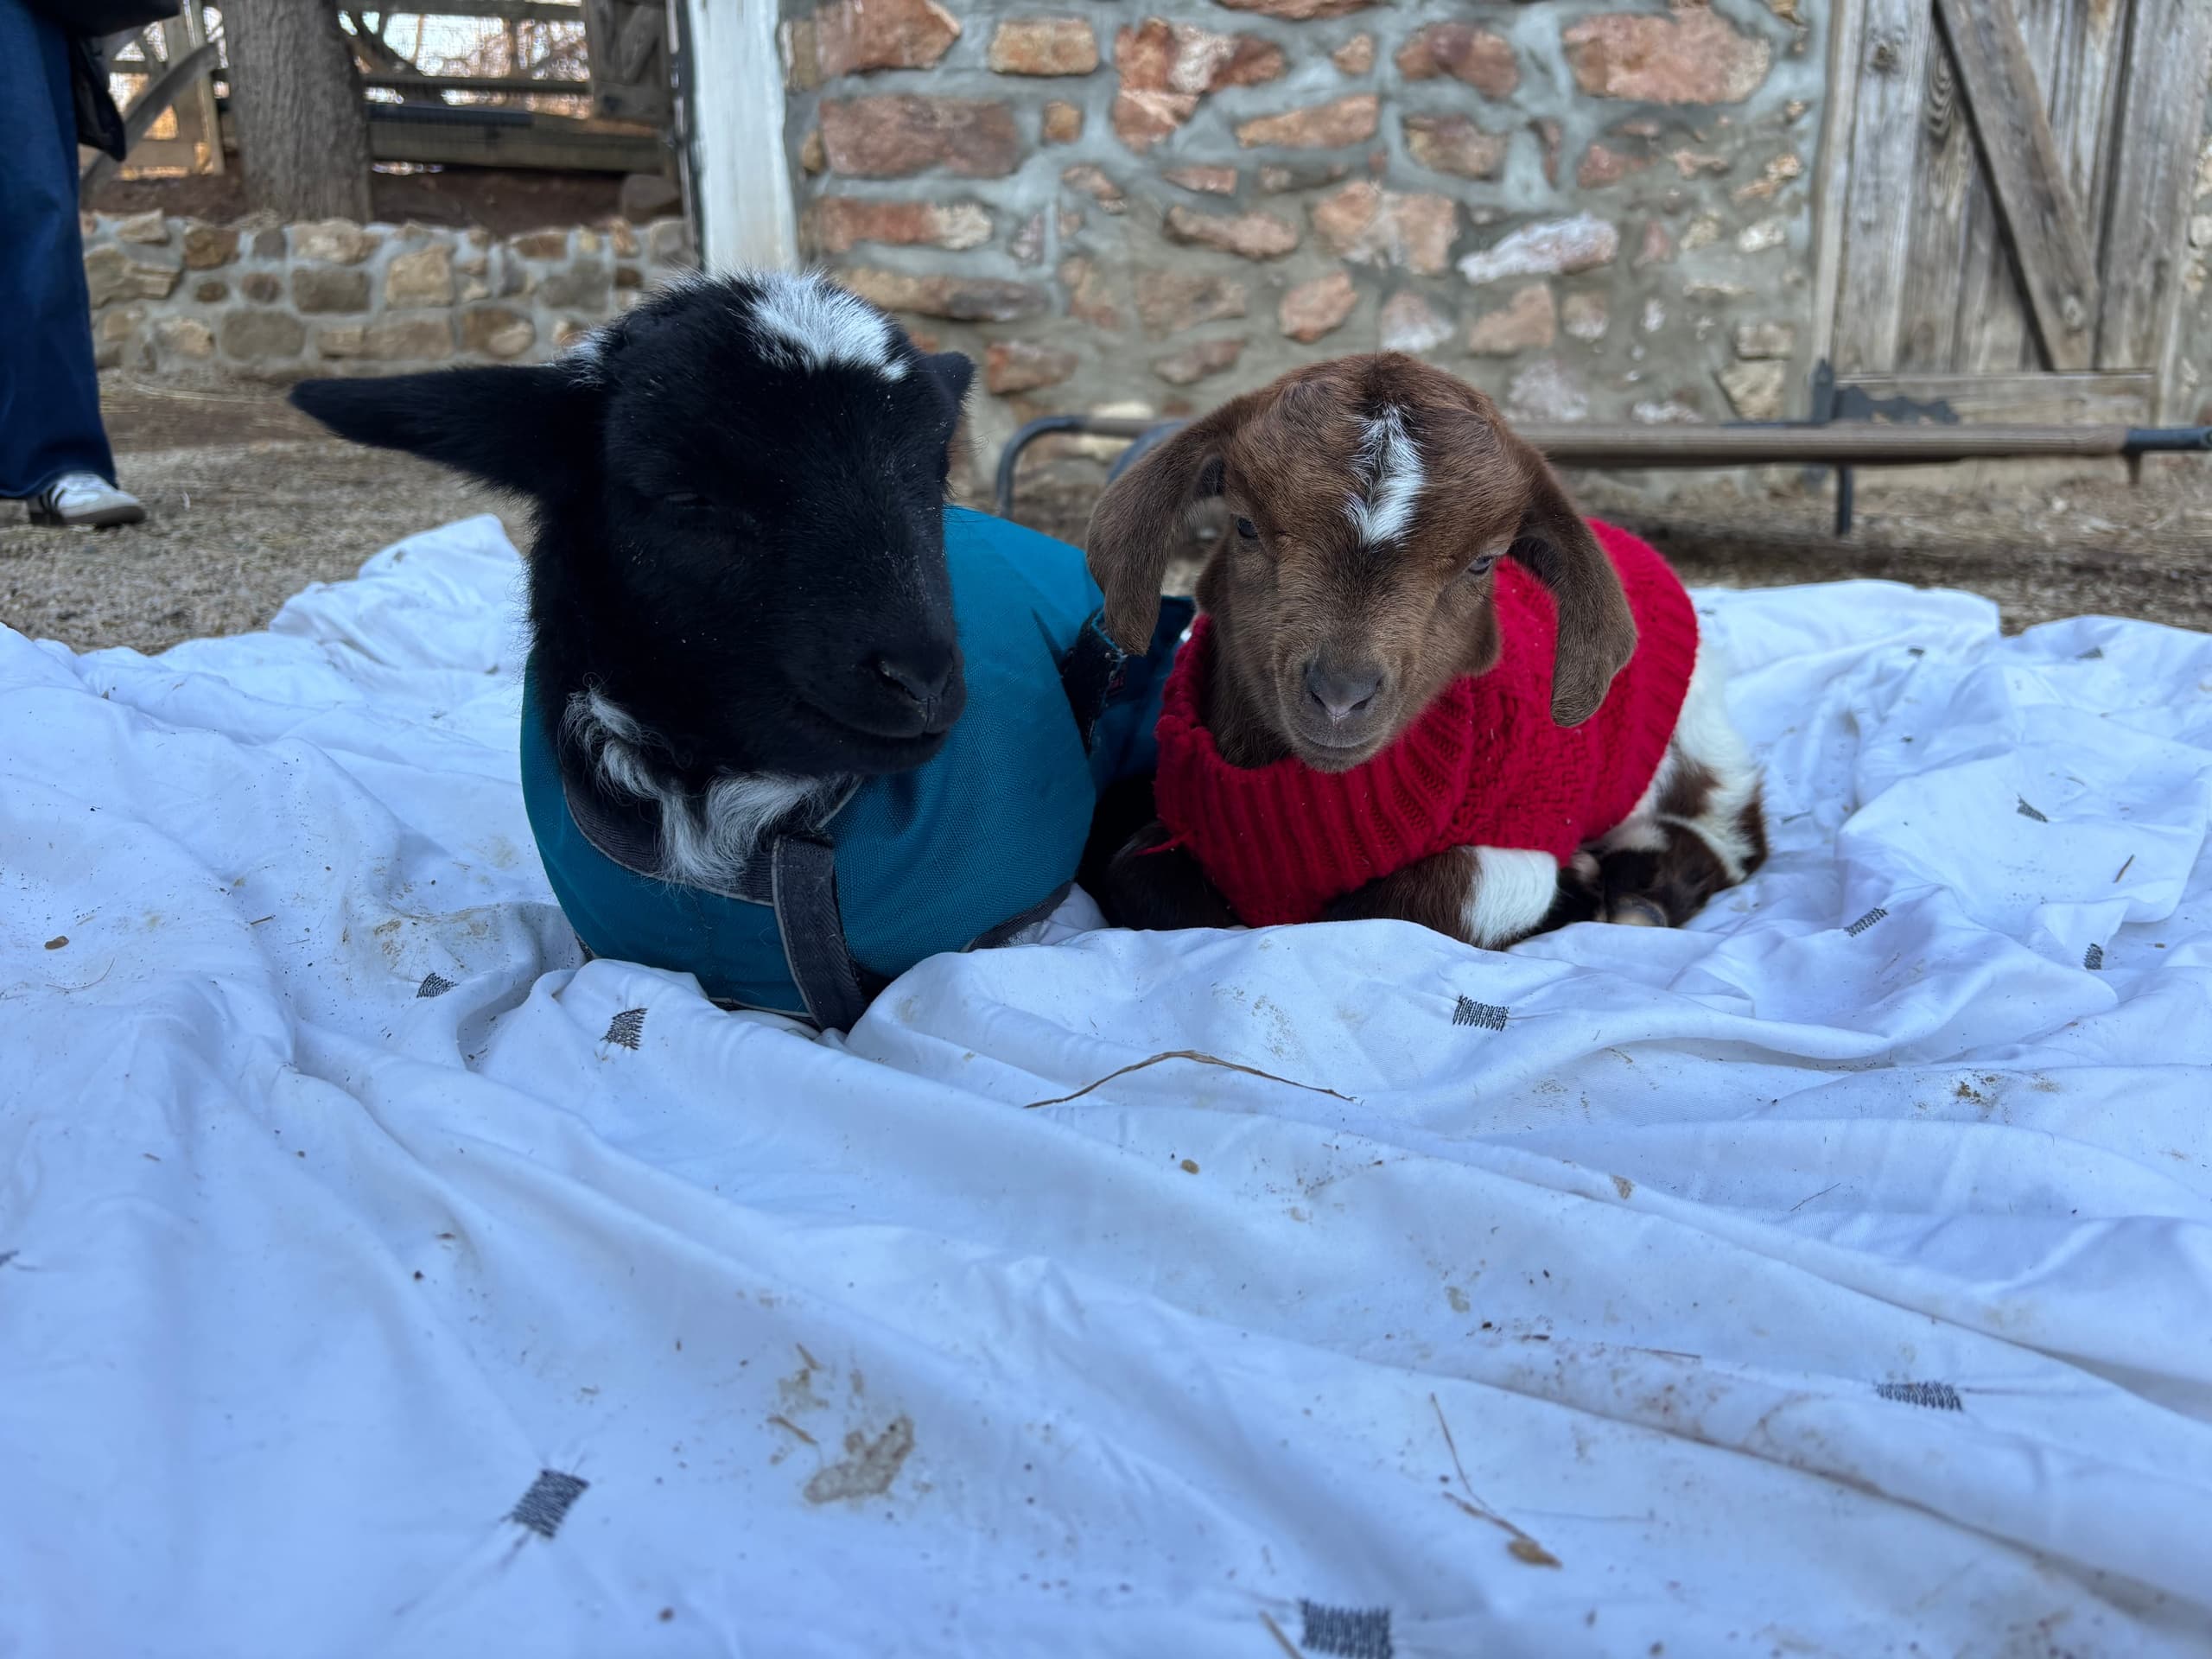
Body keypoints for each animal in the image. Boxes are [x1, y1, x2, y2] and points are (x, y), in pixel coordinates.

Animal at [1083, 353, 1766, 948]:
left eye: (1484, 562)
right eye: (1246, 527)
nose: (1340, 694)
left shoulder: (1515, 849)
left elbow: (1392, 907)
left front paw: (1577, 883)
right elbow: (1134, 870)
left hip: (1698, 728)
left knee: (1731, 831)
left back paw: (1638, 898)